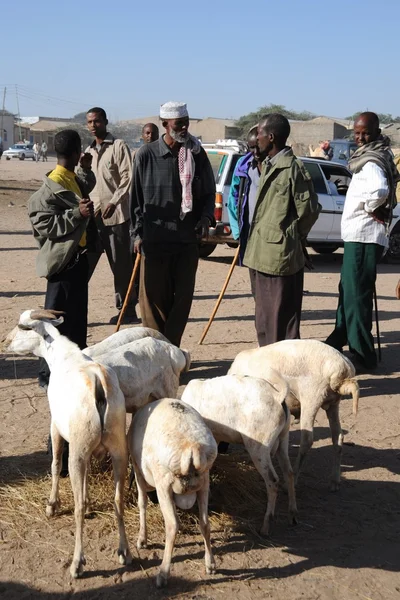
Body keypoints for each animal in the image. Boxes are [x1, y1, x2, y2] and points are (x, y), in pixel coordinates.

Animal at [4, 310, 132, 576]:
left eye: (23, 326)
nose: (5, 342)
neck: (63, 356)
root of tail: (99, 384)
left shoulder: (56, 426)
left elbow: (54, 464)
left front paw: (51, 505)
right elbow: (87, 477)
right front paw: (90, 502)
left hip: (77, 451)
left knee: (77, 507)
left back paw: (77, 563)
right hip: (117, 449)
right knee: (118, 500)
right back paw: (123, 553)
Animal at [129, 396, 217, 588]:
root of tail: (192, 447)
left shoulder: (138, 472)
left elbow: (142, 503)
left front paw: (142, 539)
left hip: (164, 483)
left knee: (172, 525)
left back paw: (163, 573)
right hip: (204, 482)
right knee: (205, 523)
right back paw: (210, 564)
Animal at [181, 370, 296, 536]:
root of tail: (277, 396)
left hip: (259, 447)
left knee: (273, 481)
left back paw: (265, 526)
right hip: (283, 440)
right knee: (289, 472)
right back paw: (292, 514)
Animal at [228, 340, 360, 490]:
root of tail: (341, 370)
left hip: (311, 397)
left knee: (307, 440)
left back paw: (293, 478)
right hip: (333, 403)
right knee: (338, 437)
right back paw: (334, 481)